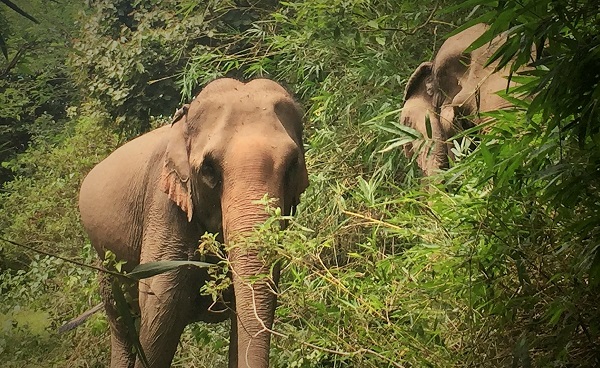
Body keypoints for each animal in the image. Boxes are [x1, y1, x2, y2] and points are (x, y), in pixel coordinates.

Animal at [78, 78, 310, 368]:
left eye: (292, 165)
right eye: (209, 169)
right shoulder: (163, 209)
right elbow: (159, 308)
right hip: (106, 267)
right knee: (123, 326)